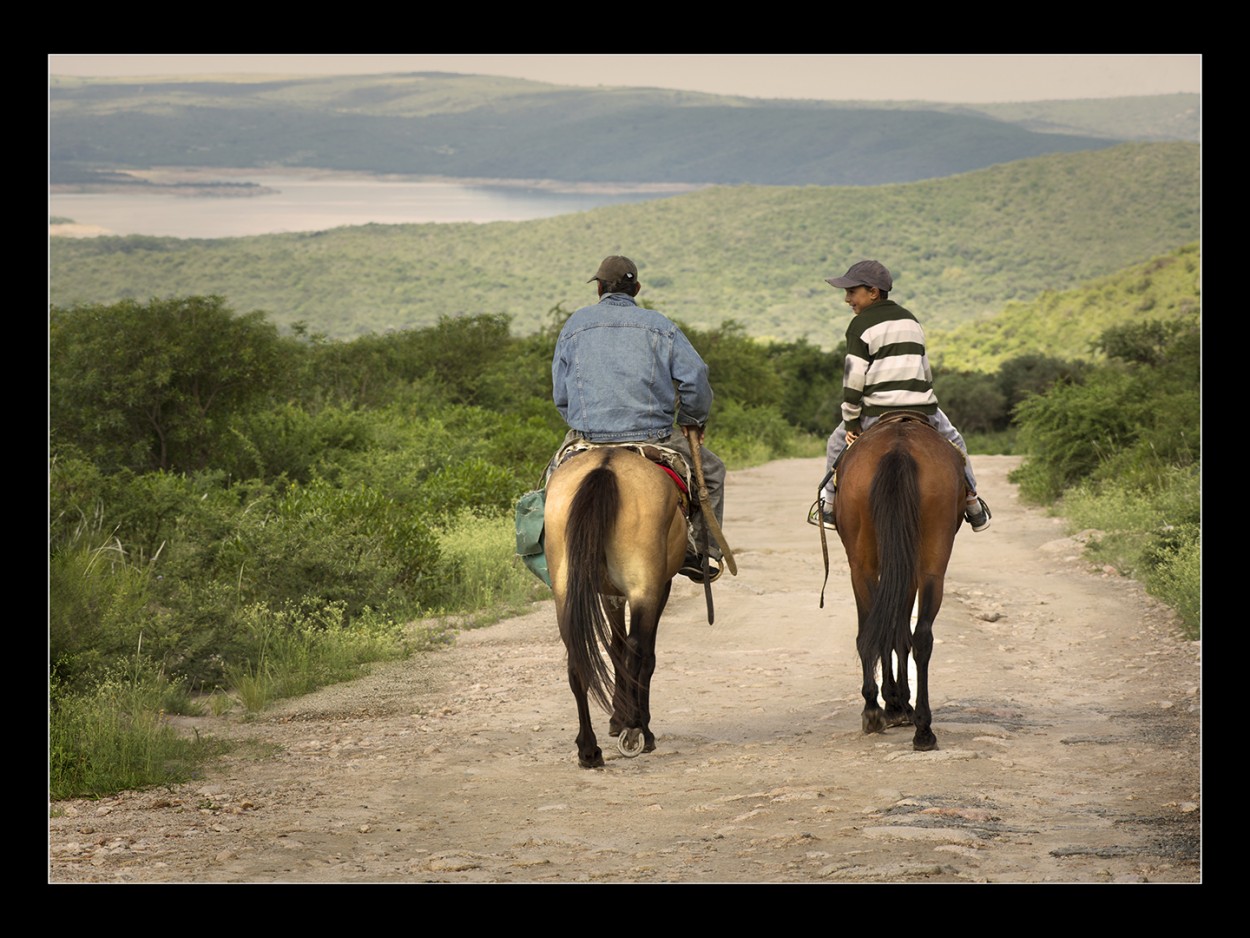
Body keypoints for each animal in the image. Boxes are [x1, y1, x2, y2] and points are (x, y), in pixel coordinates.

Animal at [545, 447, 690, 770]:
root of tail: (606, 464)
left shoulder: (611, 593)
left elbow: (614, 646)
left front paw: (616, 717)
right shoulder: (659, 587)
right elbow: (643, 655)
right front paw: (633, 722)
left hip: (565, 587)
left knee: (578, 656)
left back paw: (589, 750)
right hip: (644, 586)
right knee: (638, 652)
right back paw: (637, 730)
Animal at [835, 415, 970, 755]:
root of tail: (899, 447)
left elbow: (890, 631)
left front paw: (892, 704)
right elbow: (900, 632)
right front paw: (898, 704)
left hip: (863, 565)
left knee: (876, 632)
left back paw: (879, 710)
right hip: (930, 563)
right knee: (920, 636)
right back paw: (922, 728)